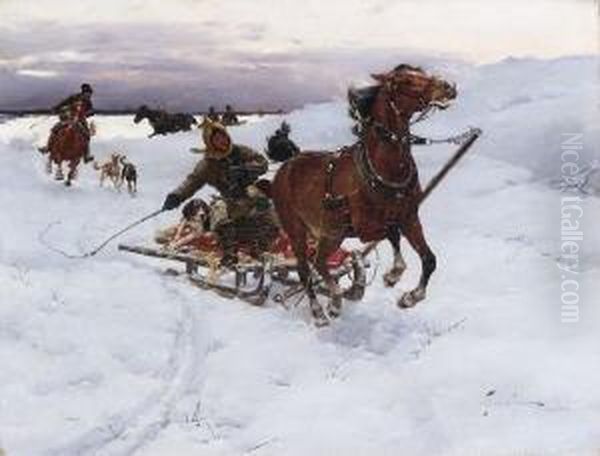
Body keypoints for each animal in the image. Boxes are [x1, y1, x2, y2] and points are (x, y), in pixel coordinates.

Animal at [270, 66, 458, 326]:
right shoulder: (364, 227)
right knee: (308, 267)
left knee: (318, 261)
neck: (384, 168)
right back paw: (325, 309)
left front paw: (409, 295)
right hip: (303, 231)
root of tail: (286, 166)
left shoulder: (410, 218)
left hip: (329, 232)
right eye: (404, 81)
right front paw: (393, 275)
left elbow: (428, 258)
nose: (448, 87)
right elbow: (391, 232)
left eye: (421, 71)